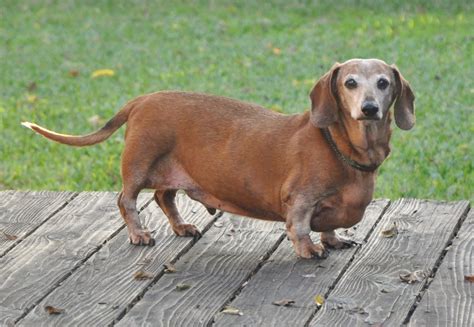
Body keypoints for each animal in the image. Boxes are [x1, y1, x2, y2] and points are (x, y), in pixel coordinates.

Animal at [23, 58, 414, 258]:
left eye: (383, 83)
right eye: (350, 83)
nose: (369, 109)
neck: (341, 147)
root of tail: (142, 100)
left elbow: (330, 224)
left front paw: (333, 240)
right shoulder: (301, 199)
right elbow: (301, 226)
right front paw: (310, 249)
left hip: (171, 172)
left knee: (164, 197)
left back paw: (182, 226)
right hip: (138, 165)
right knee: (126, 200)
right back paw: (138, 234)